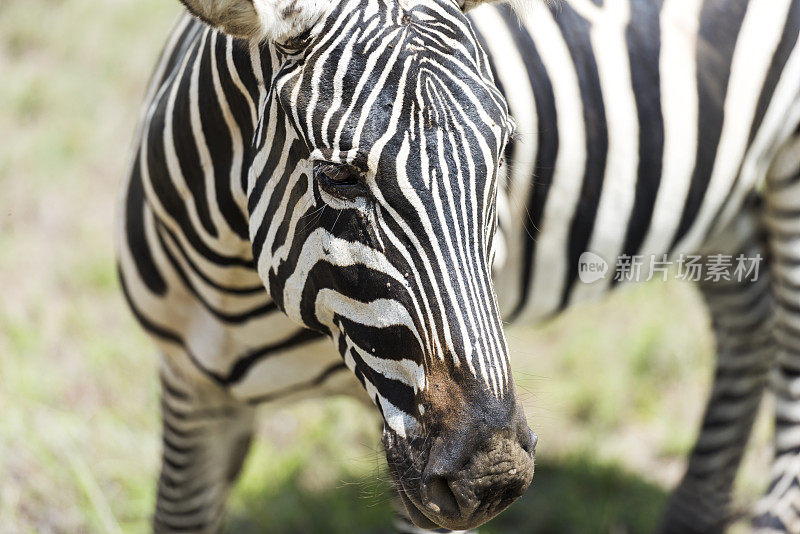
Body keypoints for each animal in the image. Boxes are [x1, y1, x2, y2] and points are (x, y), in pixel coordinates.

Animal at [117, 0, 800, 532]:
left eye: (503, 155)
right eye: (338, 177)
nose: (494, 475)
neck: (232, 282)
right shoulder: (191, 389)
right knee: (751, 325)